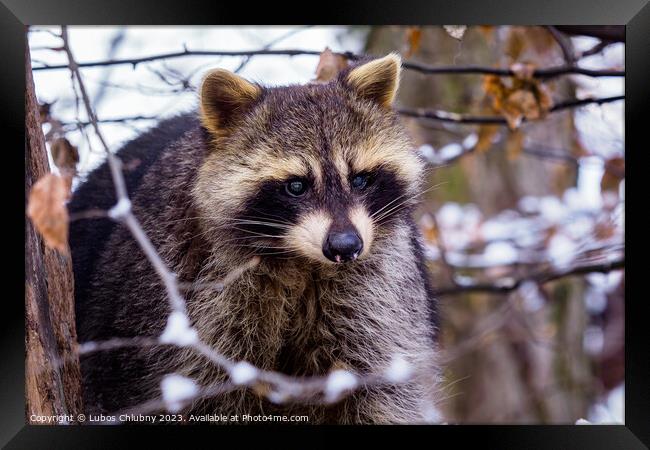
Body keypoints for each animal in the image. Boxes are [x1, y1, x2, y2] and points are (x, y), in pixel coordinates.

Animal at [68, 54, 438, 424]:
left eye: (360, 179)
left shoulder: (379, 293)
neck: (300, 261)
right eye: (296, 186)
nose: (345, 247)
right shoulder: (183, 293)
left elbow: (383, 392)